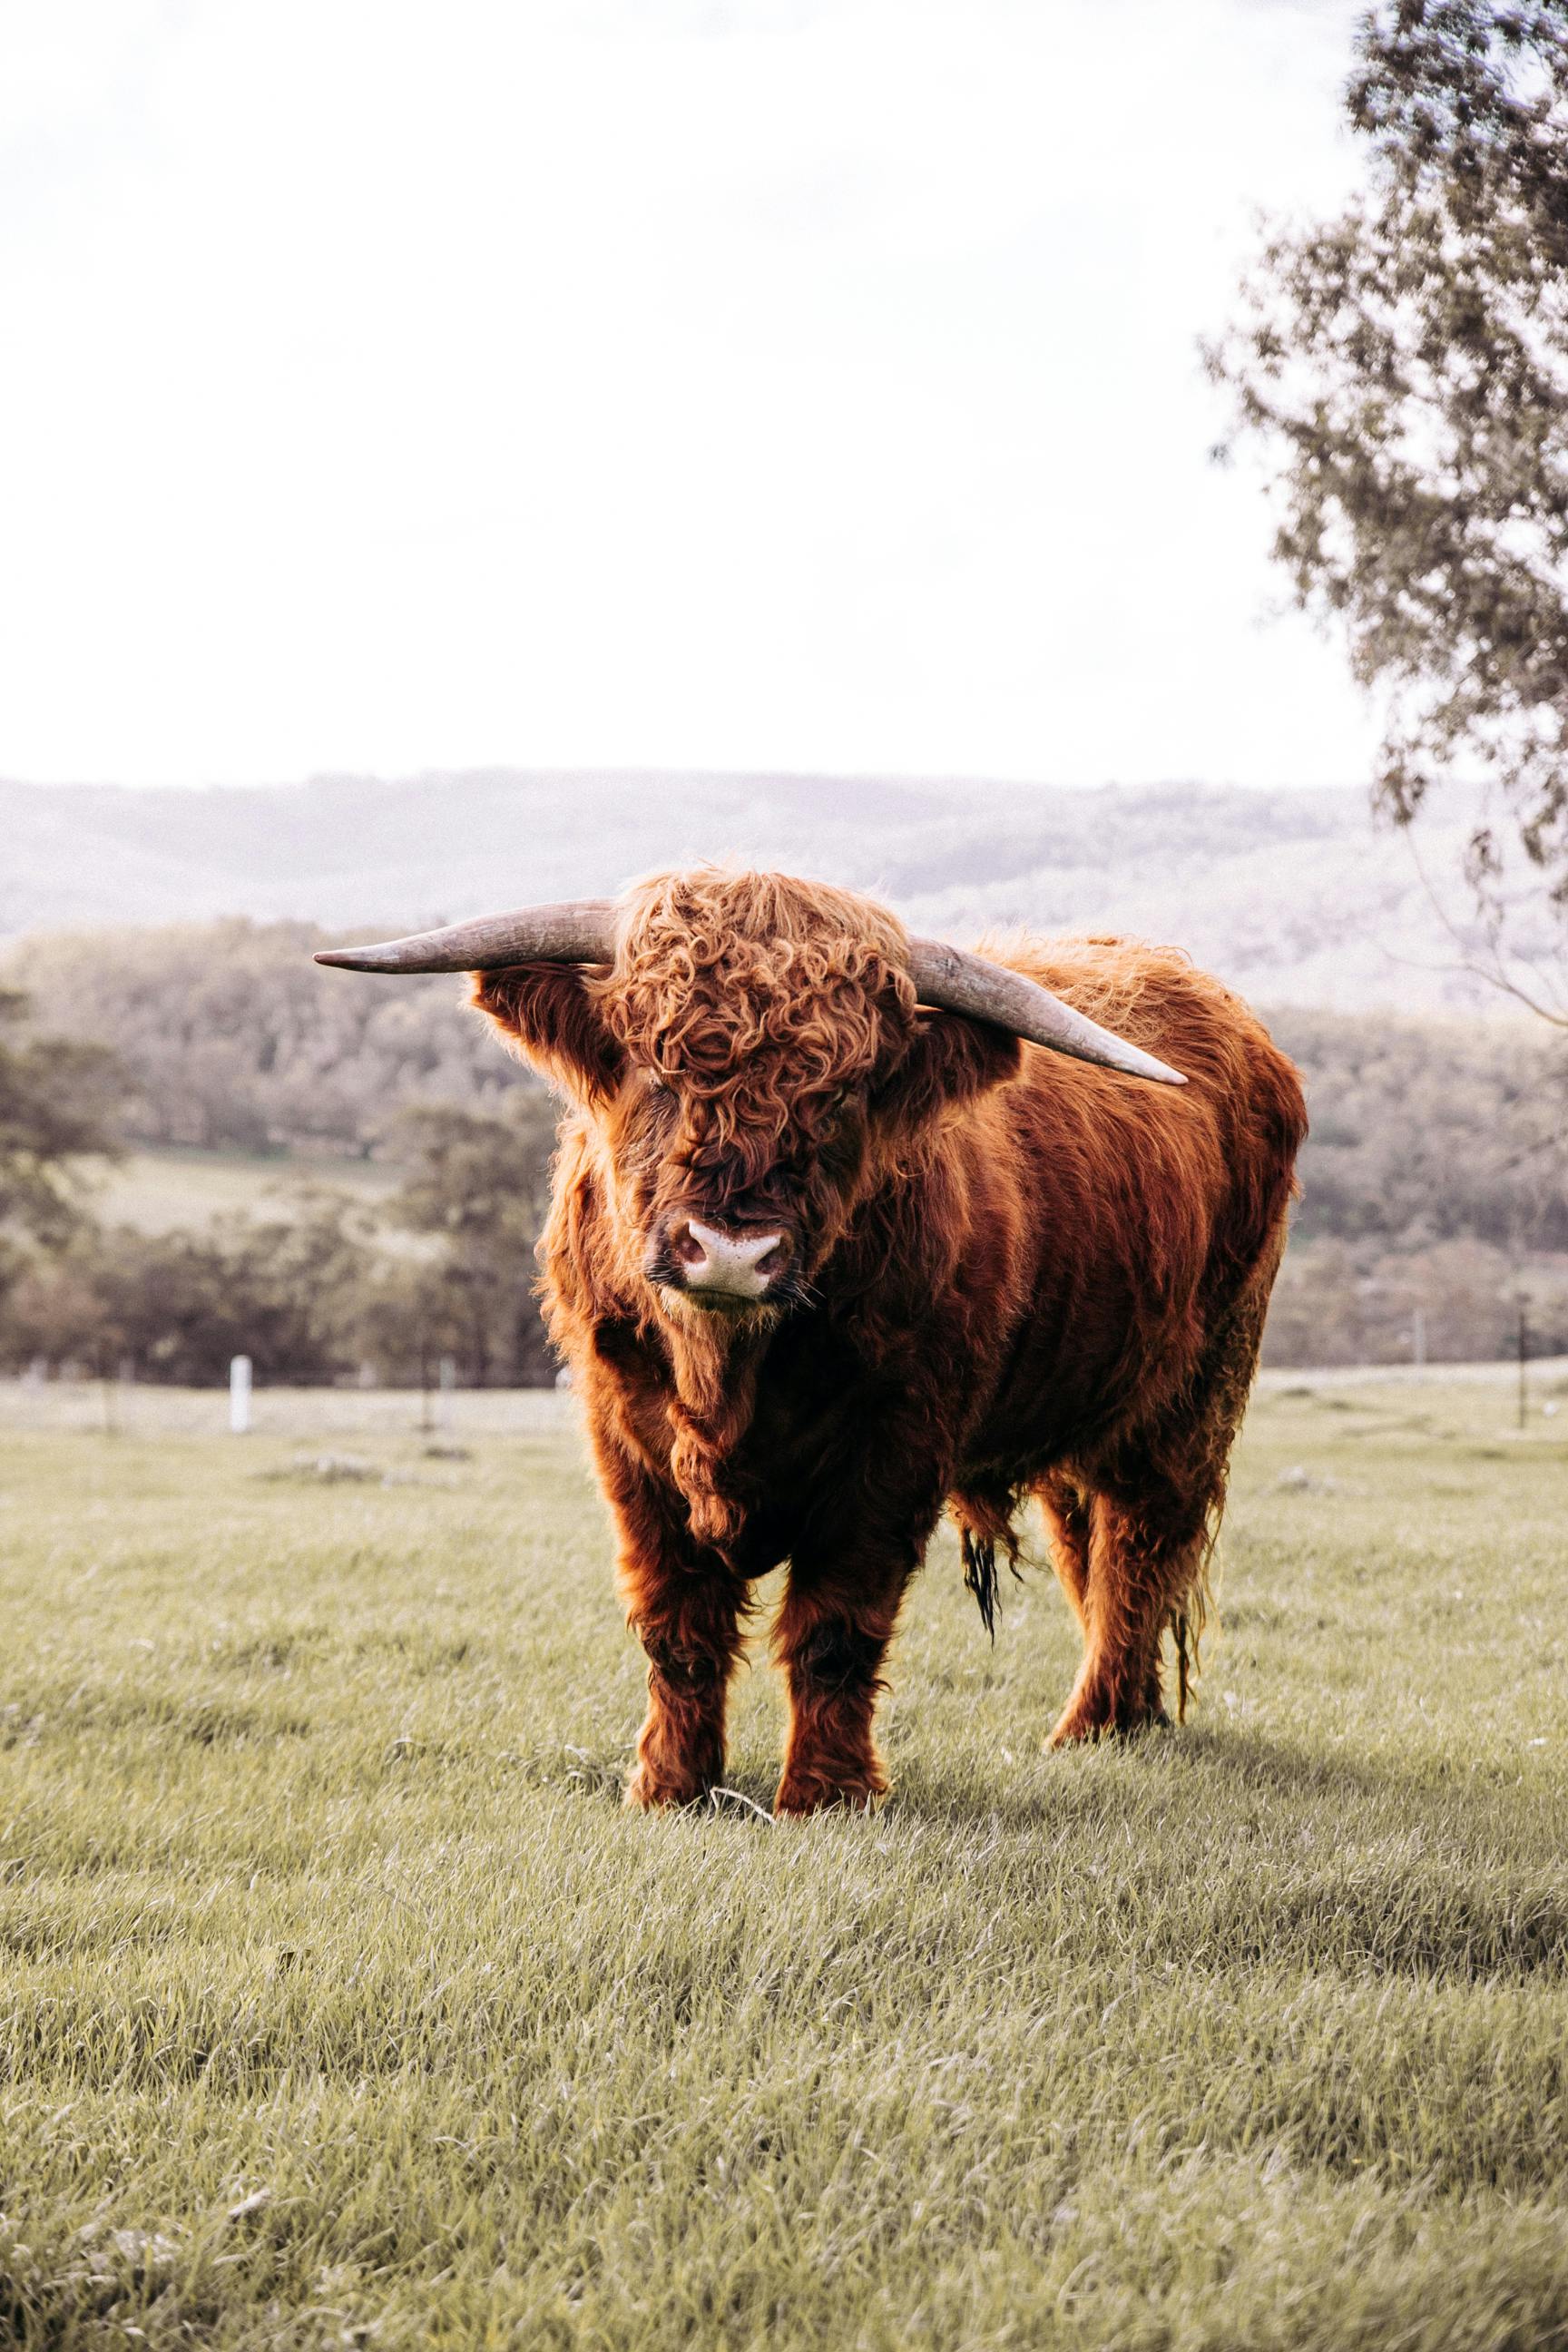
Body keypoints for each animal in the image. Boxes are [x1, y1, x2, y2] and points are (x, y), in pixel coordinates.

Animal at [315, 875, 1298, 1806]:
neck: (726, 1374)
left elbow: (836, 1628)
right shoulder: (623, 1441)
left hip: (1192, 1397)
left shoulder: (894, 1449)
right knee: (1088, 1546)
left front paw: (825, 1794)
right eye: (657, 1071)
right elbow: (677, 1624)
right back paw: (1126, 1720)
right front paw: (670, 1786)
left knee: (1141, 1551)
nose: (730, 1250)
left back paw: (1092, 1727)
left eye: (839, 1100)